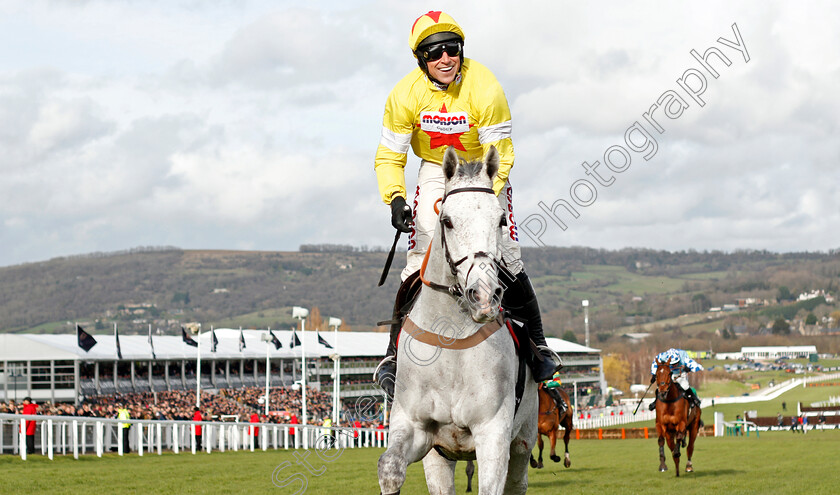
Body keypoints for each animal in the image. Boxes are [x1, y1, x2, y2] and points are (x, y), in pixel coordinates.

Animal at [376, 145, 540, 494]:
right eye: (447, 221)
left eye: (501, 220)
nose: (484, 295)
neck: (450, 338)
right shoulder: (414, 425)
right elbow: (390, 467)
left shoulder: (493, 434)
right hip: (440, 458)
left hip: (524, 439)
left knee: (517, 480)